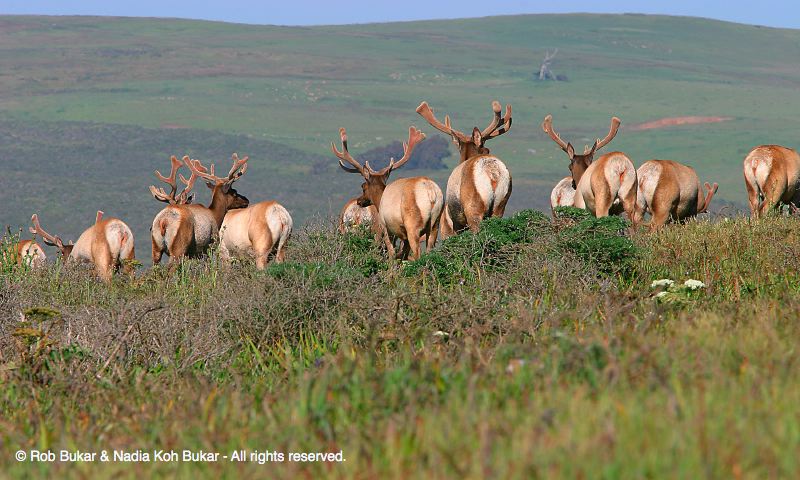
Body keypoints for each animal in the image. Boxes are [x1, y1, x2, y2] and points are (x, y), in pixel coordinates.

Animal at [332, 125, 443, 260]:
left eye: (363, 186)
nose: (359, 201)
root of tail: (430, 191)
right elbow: (403, 253)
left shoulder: (386, 228)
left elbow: (392, 254)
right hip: (435, 223)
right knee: (429, 251)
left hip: (410, 224)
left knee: (416, 253)